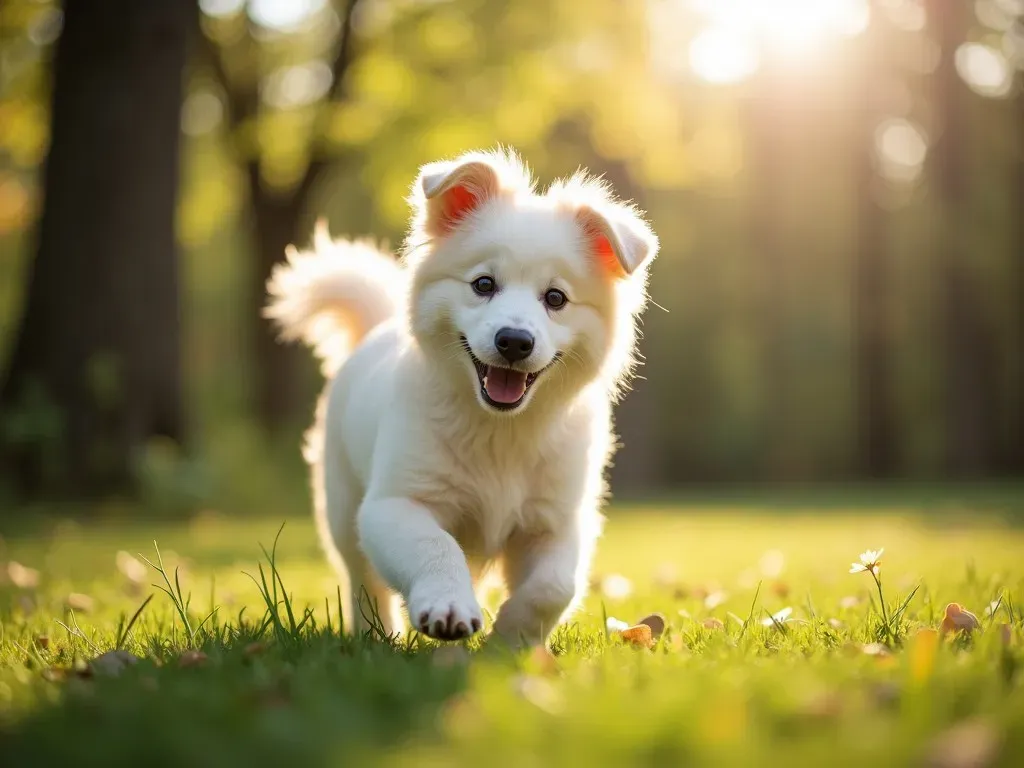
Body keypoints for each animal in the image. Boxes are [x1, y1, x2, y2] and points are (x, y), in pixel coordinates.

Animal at [266, 147, 655, 647]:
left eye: (555, 298)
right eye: (483, 284)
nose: (514, 341)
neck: (499, 431)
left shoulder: (556, 522)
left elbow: (553, 587)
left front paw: (512, 638)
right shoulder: (395, 504)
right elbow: (436, 547)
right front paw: (449, 608)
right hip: (342, 506)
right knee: (363, 581)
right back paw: (376, 638)